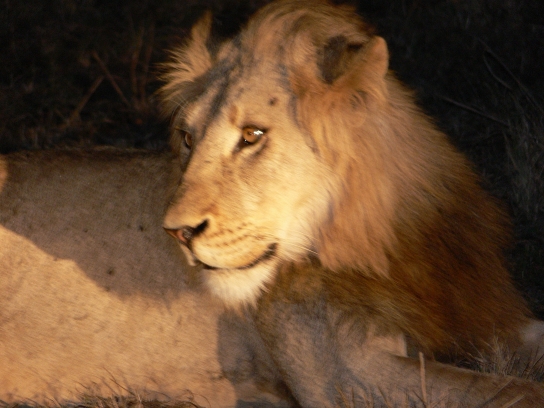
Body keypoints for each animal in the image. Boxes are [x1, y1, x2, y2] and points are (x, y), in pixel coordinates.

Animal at [160, 0, 544, 406]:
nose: (177, 232)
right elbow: (515, 388)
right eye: (187, 138)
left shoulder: (480, 315)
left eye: (252, 134)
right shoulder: (344, 374)